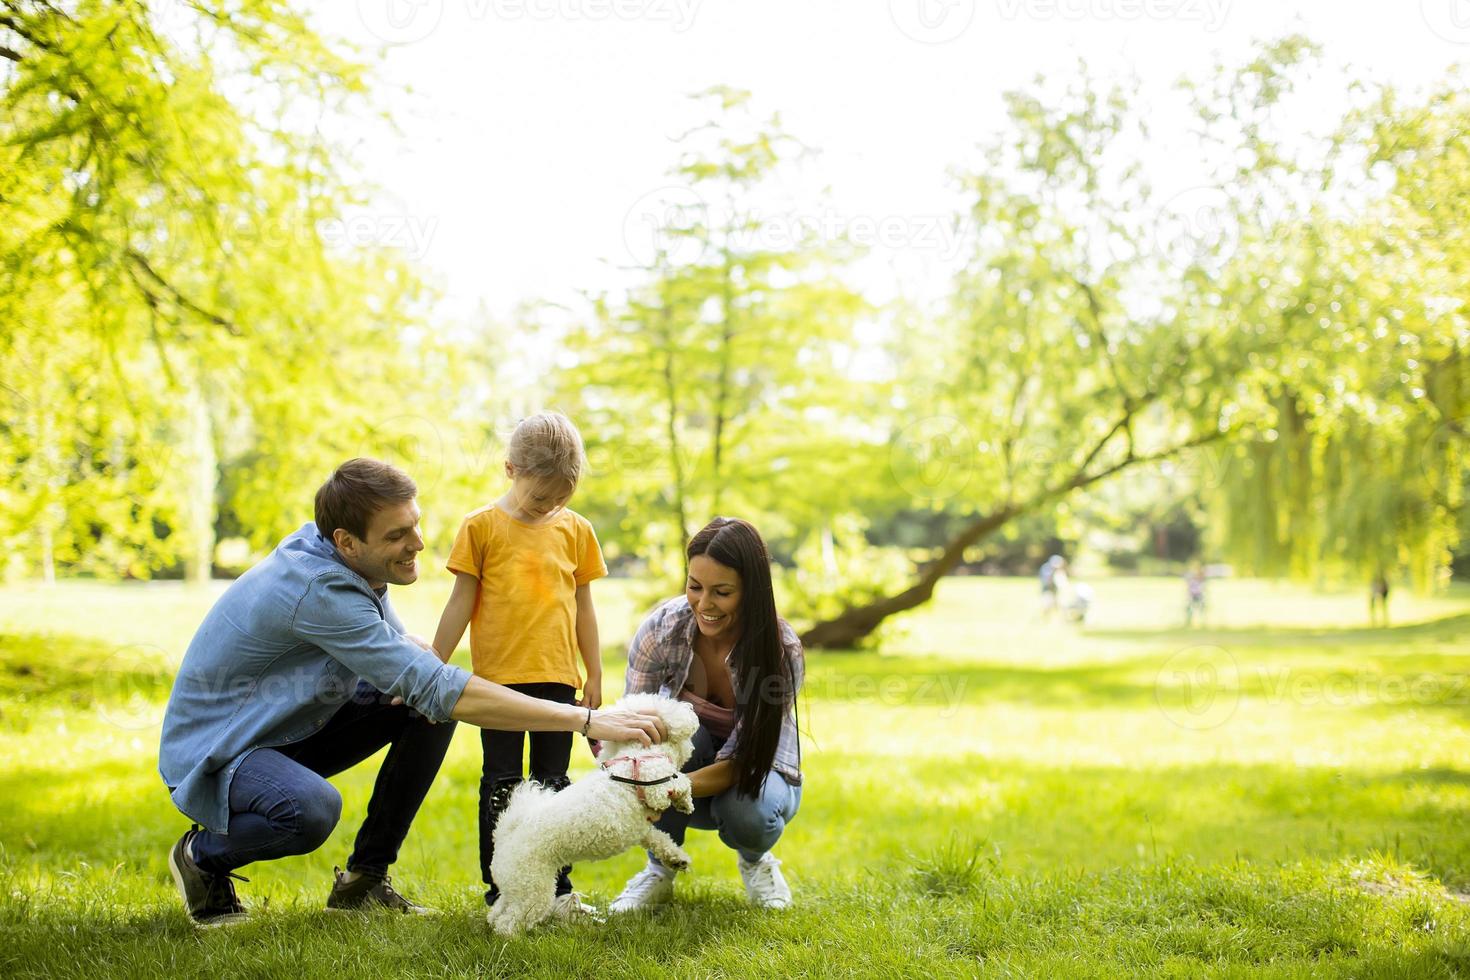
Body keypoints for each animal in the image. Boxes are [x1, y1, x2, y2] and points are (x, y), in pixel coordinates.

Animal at [488, 690, 699, 934]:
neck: (635, 756)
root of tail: (506, 836)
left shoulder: (643, 827)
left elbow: (659, 838)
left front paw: (677, 859)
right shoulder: (654, 784)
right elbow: (679, 782)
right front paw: (685, 801)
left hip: (514, 885)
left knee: (499, 908)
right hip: (532, 887)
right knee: (510, 920)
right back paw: (514, 938)